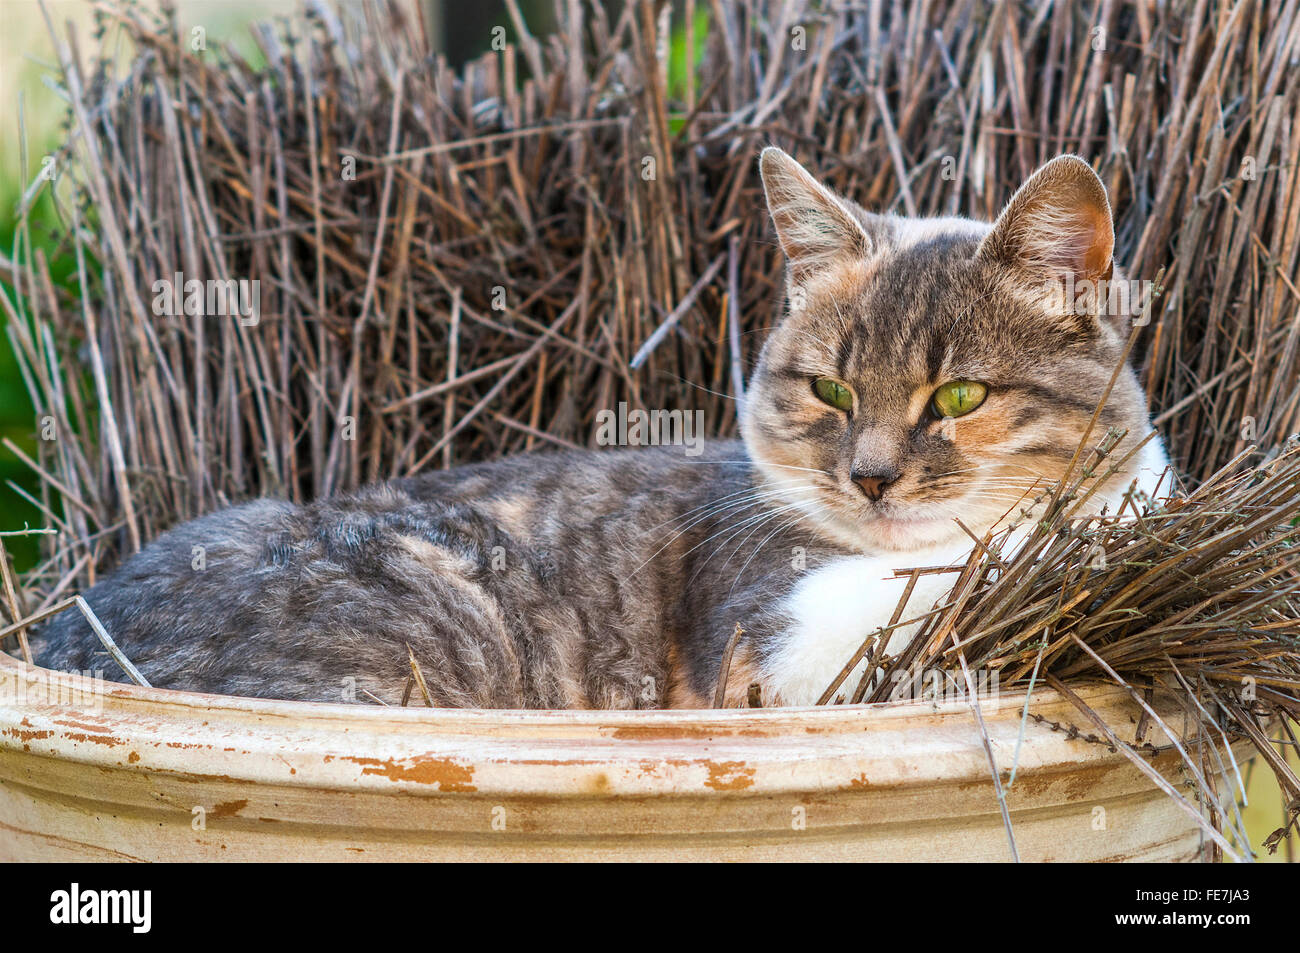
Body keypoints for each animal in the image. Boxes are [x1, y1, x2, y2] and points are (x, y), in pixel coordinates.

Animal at [32, 146, 1170, 707]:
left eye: (960, 398)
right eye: (832, 391)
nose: (873, 477)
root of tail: (55, 631)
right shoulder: (766, 638)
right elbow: (916, 595)